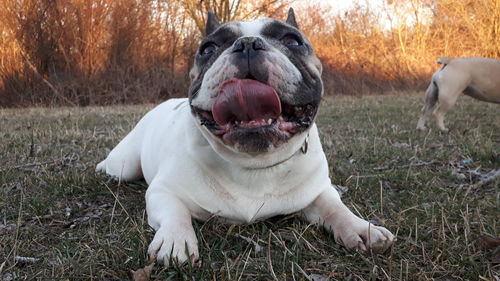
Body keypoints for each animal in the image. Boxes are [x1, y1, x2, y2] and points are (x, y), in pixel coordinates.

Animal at [96, 8, 394, 264]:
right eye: (208, 49)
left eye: (293, 41)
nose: (248, 44)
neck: (254, 161)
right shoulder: (163, 191)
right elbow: (175, 213)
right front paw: (174, 240)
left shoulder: (318, 191)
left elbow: (335, 208)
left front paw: (362, 228)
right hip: (125, 166)